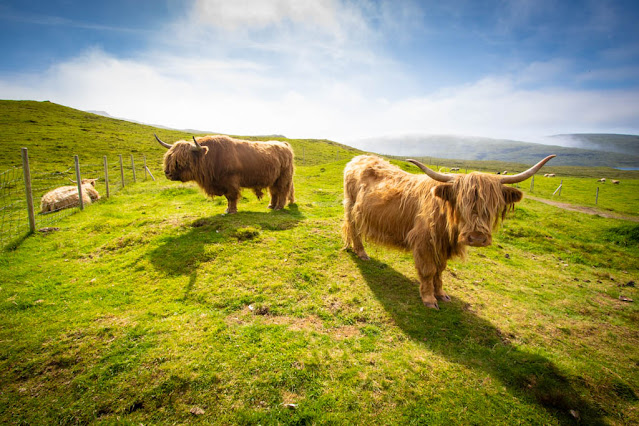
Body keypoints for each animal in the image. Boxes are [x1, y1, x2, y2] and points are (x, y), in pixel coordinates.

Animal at [155, 134, 296, 215]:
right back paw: (271, 205)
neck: (211, 156)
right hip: (274, 179)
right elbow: (228, 198)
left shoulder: (230, 182)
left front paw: (231, 211)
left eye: (181, 160)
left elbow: (231, 197)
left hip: (283, 177)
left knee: (282, 191)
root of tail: (284, 144)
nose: (167, 173)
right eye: (168, 158)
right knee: (274, 192)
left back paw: (278, 207)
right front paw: (228, 209)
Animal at [344, 155, 556, 308]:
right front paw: (429, 299)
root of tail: (358, 159)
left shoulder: (442, 246)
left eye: (492, 205)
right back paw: (361, 253)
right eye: (461, 204)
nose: (477, 238)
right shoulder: (424, 242)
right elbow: (429, 271)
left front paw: (442, 294)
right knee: (353, 229)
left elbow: (440, 270)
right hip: (352, 208)